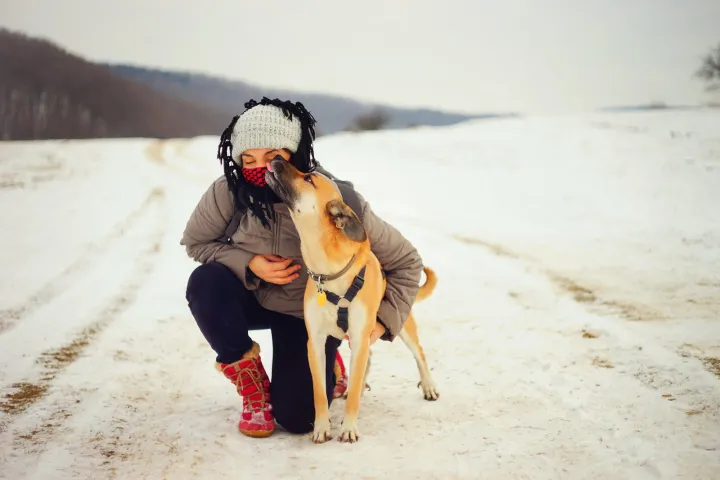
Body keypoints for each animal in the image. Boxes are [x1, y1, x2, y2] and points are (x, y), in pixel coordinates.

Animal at [266, 159, 438, 444]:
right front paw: (322, 427)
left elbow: (355, 391)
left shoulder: (358, 337)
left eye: (309, 179)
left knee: (419, 353)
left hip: (401, 325)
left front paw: (348, 427)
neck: (329, 272)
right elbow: (318, 392)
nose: (277, 160)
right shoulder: (315, 342)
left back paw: (429, 385)